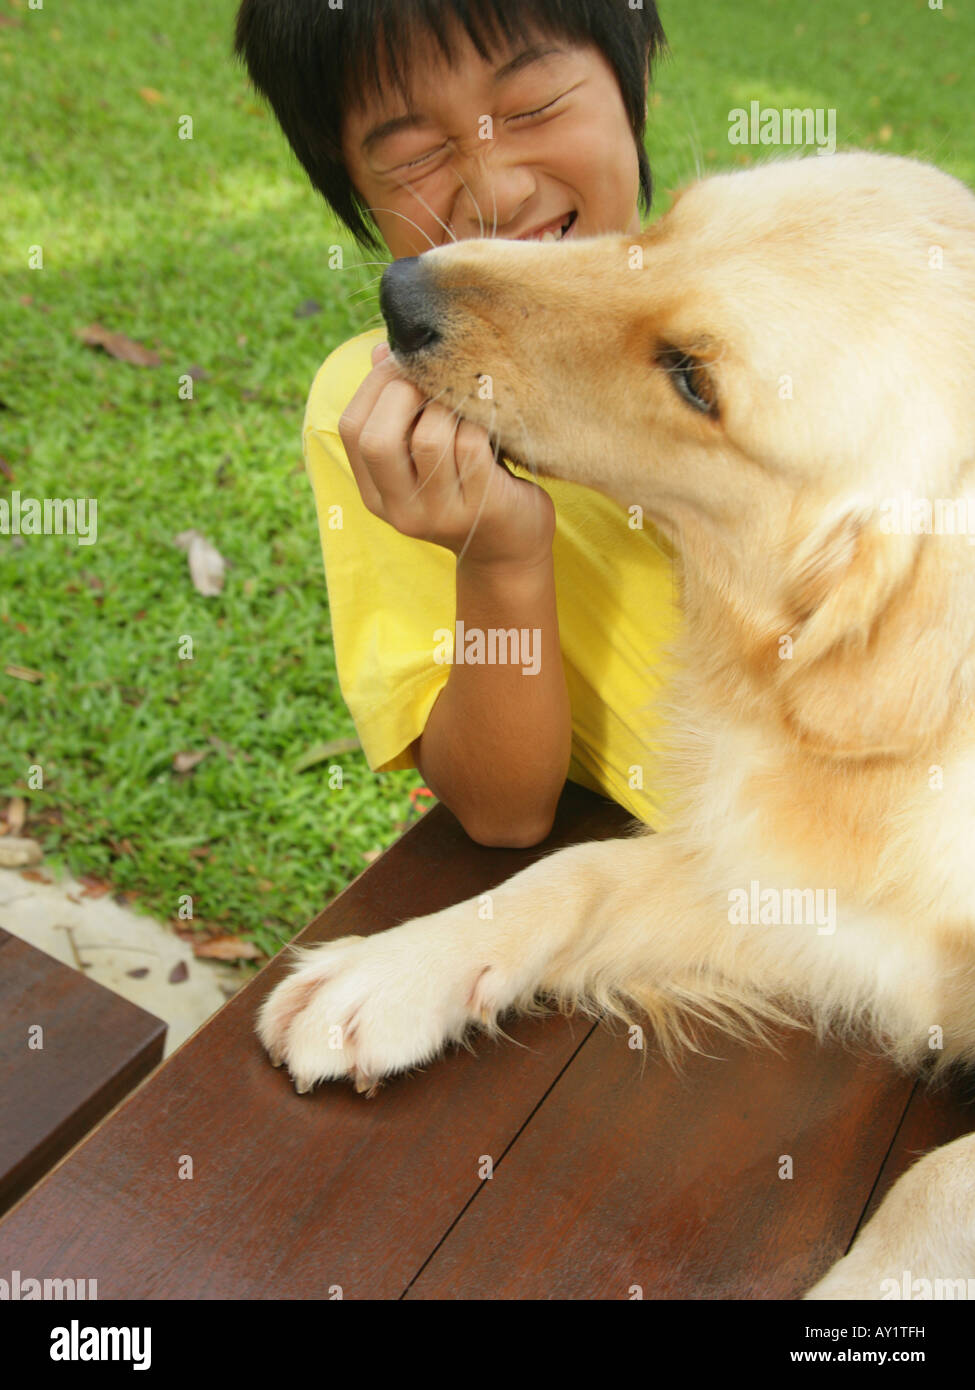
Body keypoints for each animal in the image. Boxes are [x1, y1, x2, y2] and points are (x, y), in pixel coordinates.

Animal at [258, 157, 973, 1295]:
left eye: (692, 380)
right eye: (665, 220)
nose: (401, 293)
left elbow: (941, 1177)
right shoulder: (859, 924)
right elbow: (575, 870)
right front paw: (392, 973)